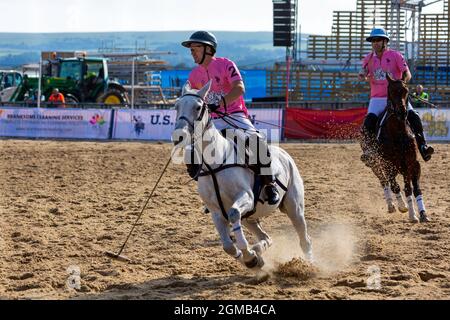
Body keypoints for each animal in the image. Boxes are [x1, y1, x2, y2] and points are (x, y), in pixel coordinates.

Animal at [172, 81, 312, 268]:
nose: (178, 136)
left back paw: (309, 264)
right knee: (266, 237)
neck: (215, 164)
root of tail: (285, 154)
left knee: (305, 239)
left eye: (198, 107)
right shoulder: (215, 211)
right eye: (176, 106)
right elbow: (227, 246)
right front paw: (252, 258)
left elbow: (233, 214)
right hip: (250, 216)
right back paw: (259, 248)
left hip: (294, 207)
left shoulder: (246, 197)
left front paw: (249, 254)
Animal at [362, 74, 428, 222]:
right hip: (375, 164)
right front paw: (404, 207)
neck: (398, 132)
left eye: (406, 91)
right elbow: (395, 186)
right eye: (391, 91)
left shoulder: (411, 163)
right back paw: (391, 205)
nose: (402, 112)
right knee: (384, 182)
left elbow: (412, 188)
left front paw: (418, 214)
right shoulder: (387, 163)